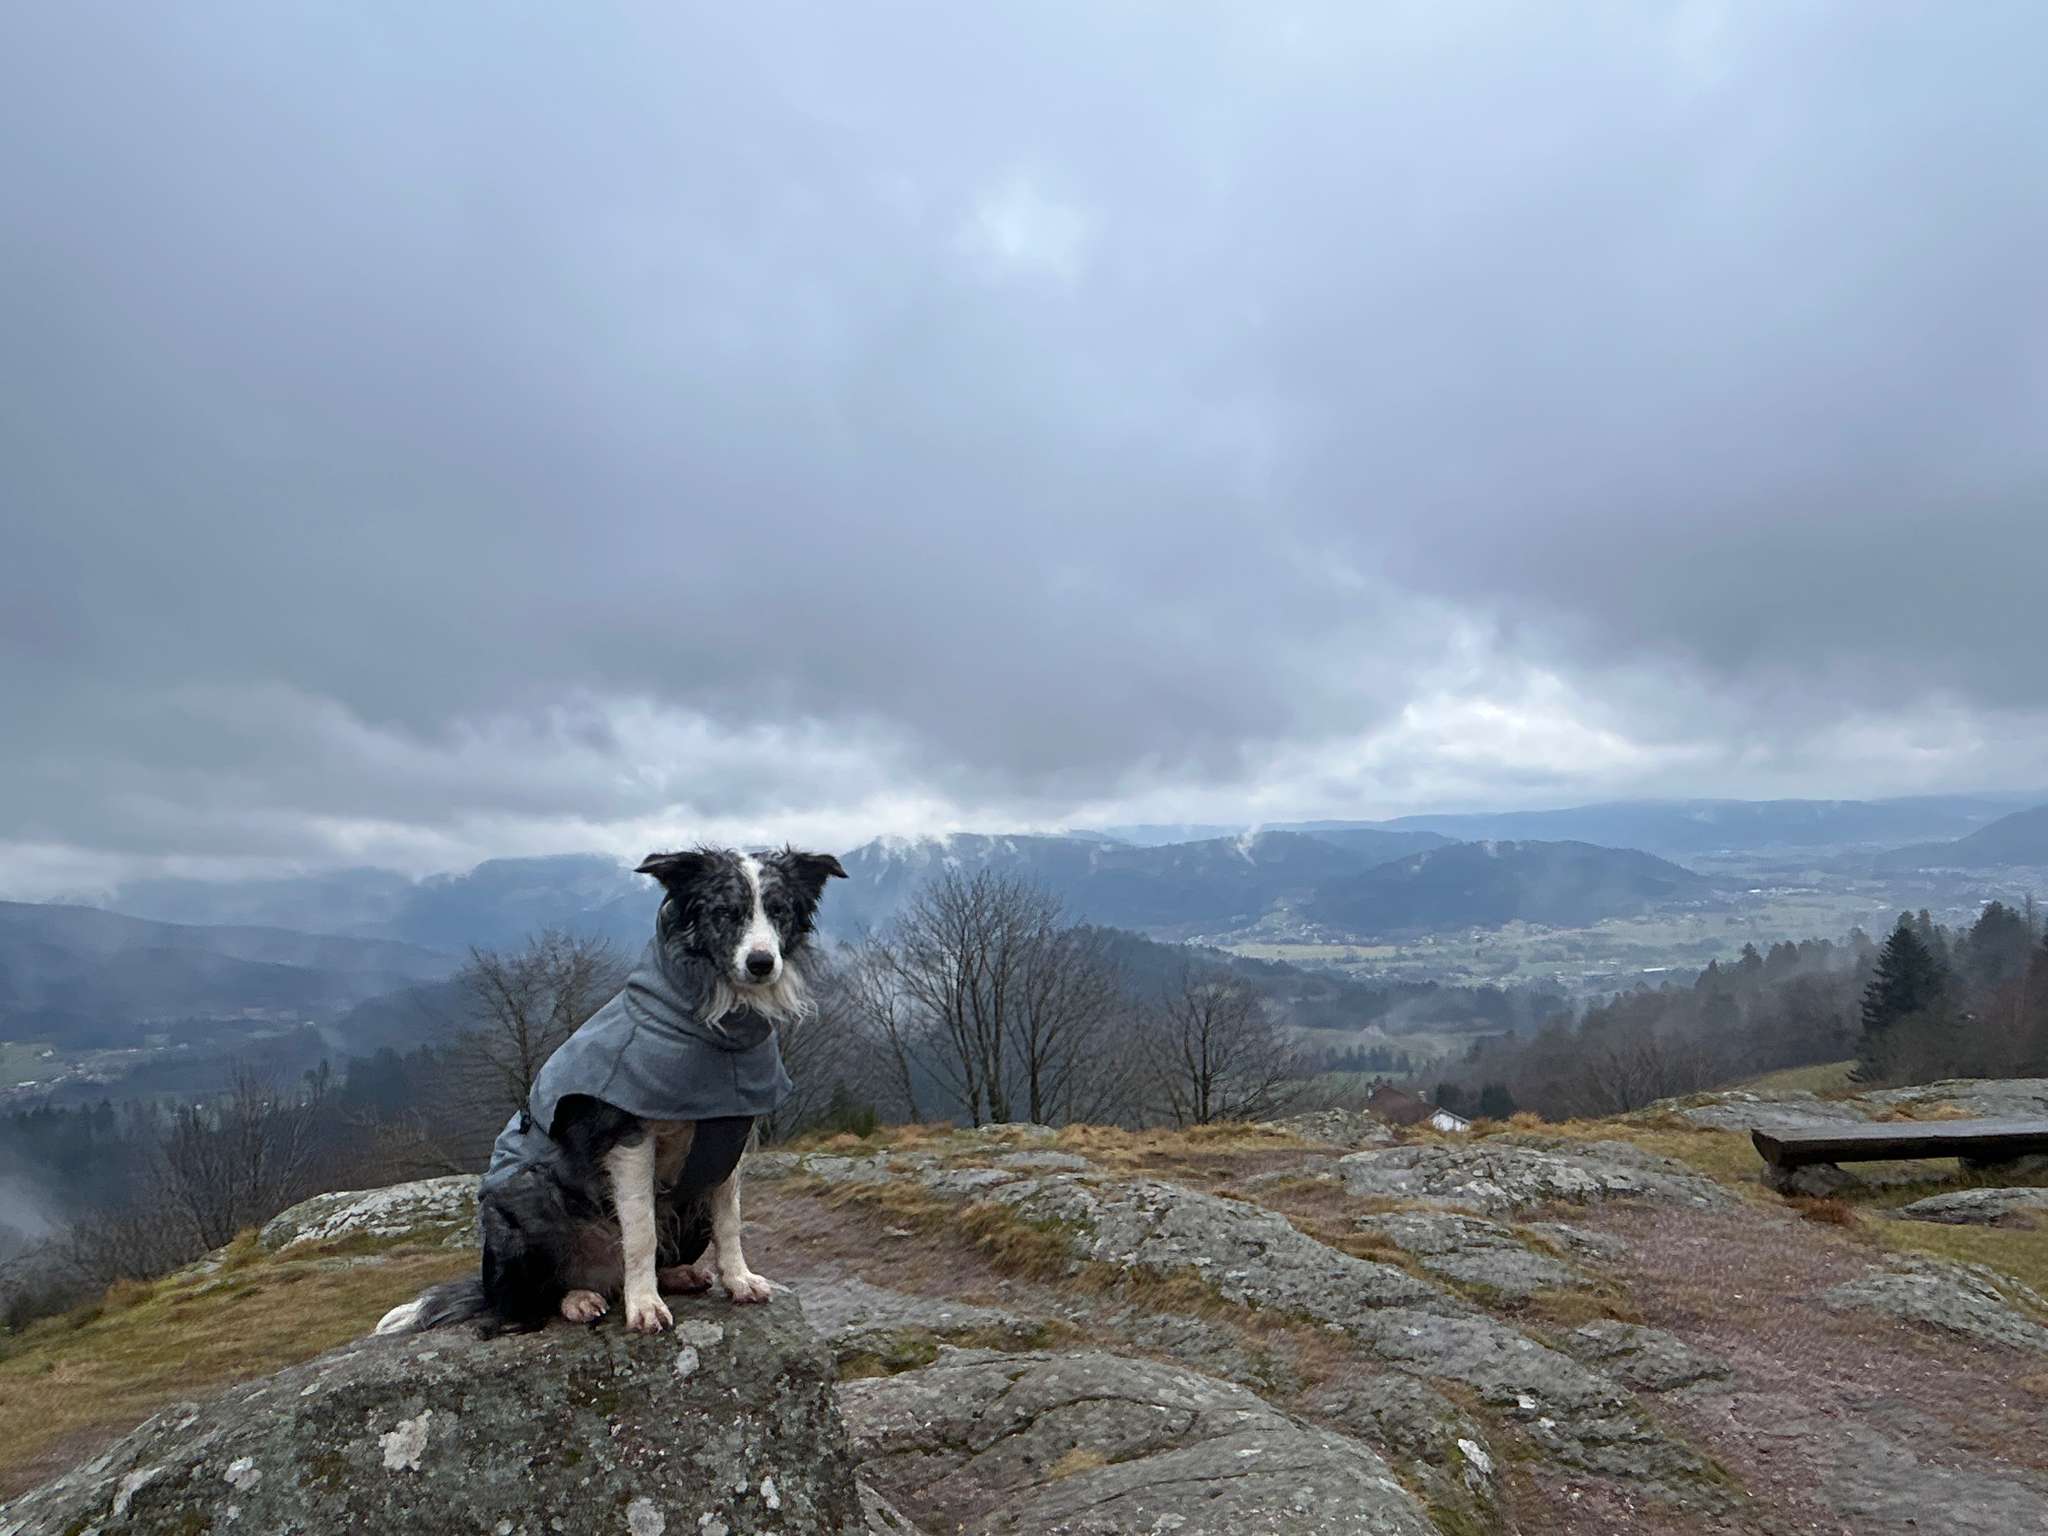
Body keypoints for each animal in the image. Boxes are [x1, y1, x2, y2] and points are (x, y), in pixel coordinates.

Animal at [376, 845, 846, 1336]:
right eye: (724, 912)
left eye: (779, 911)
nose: (761, 963)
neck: (714, 1031)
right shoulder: (629, 1138)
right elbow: (640, 1232)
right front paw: (644, 1305)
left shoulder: (726, 1142)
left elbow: (729, 1220)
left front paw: (737, 1279)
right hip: (524, 1197)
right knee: (524, 1302)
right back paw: (578, 1298)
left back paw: (675, 1275)